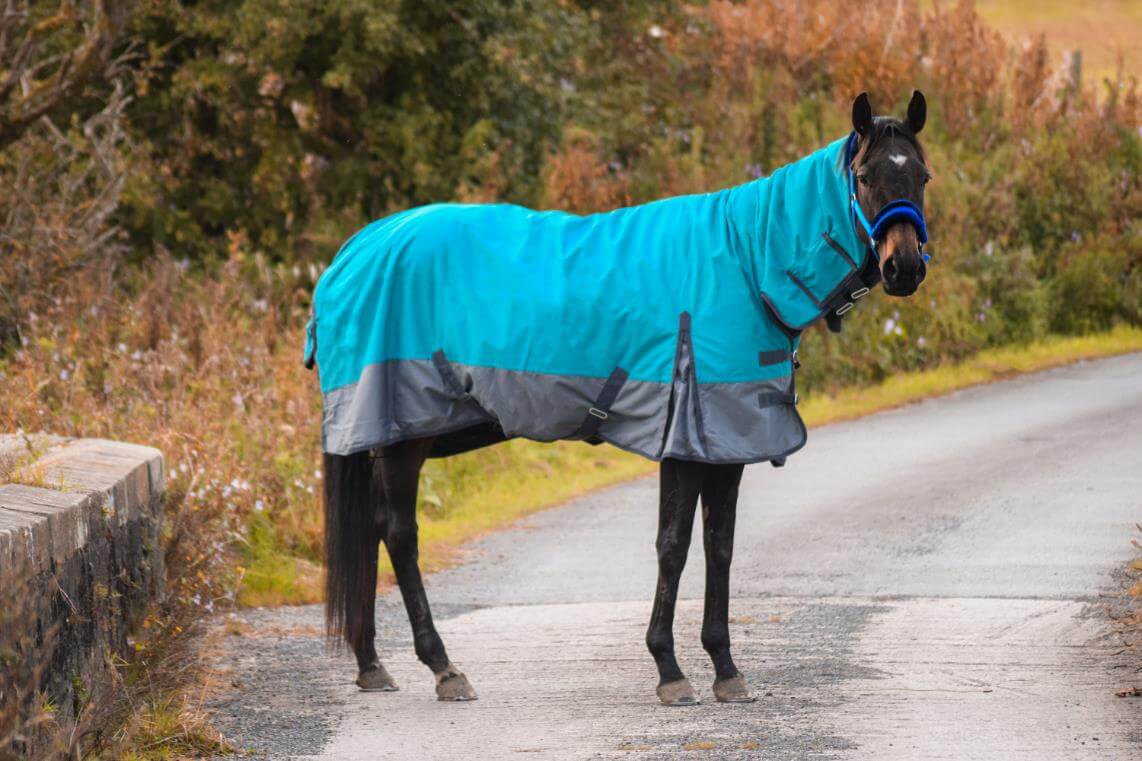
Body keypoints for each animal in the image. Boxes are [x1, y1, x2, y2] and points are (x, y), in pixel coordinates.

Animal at [310, 91, 927, 703]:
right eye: (866, 176)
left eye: (921, 175)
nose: (903, 268)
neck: (747, 264)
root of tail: (353, 251)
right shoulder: (686, 441)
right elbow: (674, 546)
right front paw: (670, 670)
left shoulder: (725, 447)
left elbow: (720, 546)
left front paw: (725, 668)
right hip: (402, 438)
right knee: (398, 532)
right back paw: (443, 668)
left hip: (399, 434)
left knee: (370, 527)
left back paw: (371, 664)